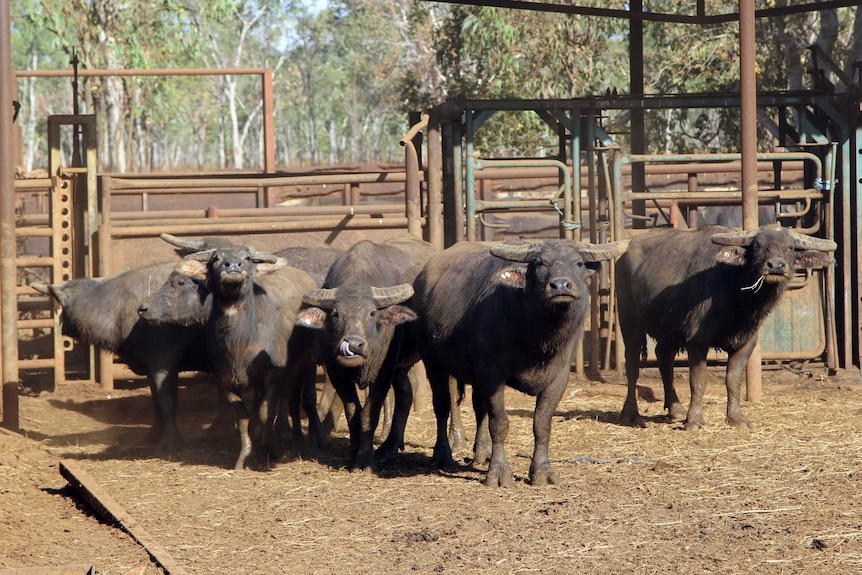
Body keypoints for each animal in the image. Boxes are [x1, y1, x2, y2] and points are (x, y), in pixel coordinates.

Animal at [296, 235, 436, 472]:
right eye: (336, 313)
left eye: (372, 312)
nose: (353, 345)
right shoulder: (336, 373)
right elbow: (353, 413)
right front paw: (354, 457)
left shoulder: (383, 370)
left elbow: (370, 414)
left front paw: (366, 460)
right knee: (405, 393)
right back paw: (390, 445)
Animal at [416, 237, 632, 486]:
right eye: (538, 264)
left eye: (578, 263)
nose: (560, 286)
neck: (538, 337)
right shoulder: (492, 375)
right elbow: (499, 423)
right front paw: (498, 473)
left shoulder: (558, 378)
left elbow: (542, 423)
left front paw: (542, 472)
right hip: (433, 361)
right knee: (442, 405)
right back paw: (443, 455)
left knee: (479, 409)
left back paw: (482, 453)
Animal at [616, 225, 840, 432]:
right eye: (757, 246)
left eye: (791, 247)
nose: (776, 266)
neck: (738, 298)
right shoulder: (697, 342)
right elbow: (698, 380)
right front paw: (694, 420)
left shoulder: (746, 343)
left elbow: (733, 380)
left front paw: (736, 418)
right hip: (630, 323)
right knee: (632, 366)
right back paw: (631, 415)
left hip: (668, 329)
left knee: (664, 358)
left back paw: (676, 409)